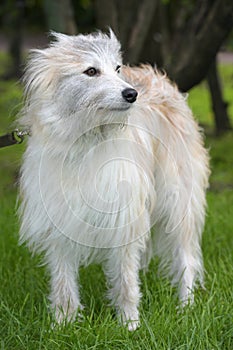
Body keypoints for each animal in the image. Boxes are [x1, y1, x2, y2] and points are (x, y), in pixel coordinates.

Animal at [18, 30, 209, 330]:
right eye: (91, 71)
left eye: (118, 68)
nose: (132, 94)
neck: (86, 138)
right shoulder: (59, 219)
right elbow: (63, 280)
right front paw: (63, 323)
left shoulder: (124, 217)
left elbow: (126, 278)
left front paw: (129, 323)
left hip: (178, 201)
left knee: (186, 259)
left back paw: (186, 306)